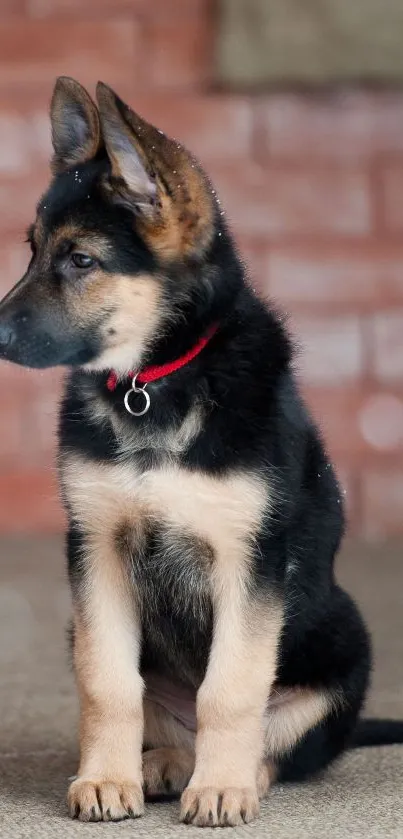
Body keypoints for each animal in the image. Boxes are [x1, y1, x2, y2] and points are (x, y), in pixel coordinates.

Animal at [0, 77, 402, 828]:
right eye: (32, 250)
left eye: (81, 260)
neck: (153, 384)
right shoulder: (95, 547)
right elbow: (108, 682)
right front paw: (106, 779)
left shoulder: (249, 559)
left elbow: (231, 687)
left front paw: (222, 787)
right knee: (161, 715)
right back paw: (160, 762)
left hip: (344, 639)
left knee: (277, 741)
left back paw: (233, 774)